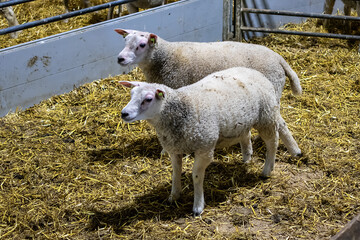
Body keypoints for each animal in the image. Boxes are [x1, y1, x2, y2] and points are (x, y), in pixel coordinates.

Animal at [116, 28, 302, 158]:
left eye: (141, 45)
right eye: (125, 41)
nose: (120, 58)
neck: (165, 57)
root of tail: (279, 58)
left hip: (270, 93)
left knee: (280, 123)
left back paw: (294, 151)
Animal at [121, 67, 284, 216]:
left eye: (148, 99)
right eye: (131, 94)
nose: (124, 113)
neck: (183, 109)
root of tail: (253, 71)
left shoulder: (204, 149)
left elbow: (196, 176)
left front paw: (198, 206)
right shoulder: (174, 148)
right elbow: (176, 172)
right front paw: (174, 196)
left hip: (266, 116)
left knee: (272, 141)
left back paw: (267, 170)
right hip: (242, 121)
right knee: (247, 134)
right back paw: (246, 159)